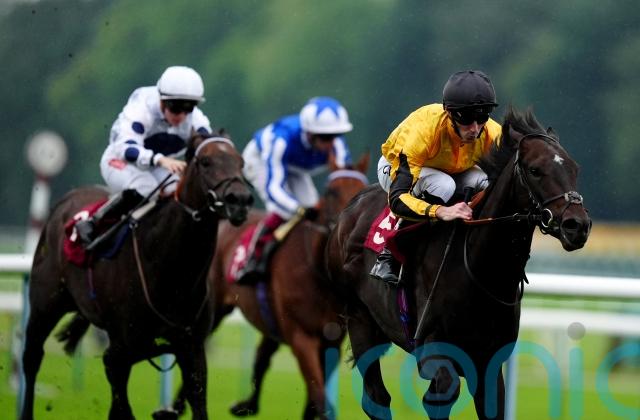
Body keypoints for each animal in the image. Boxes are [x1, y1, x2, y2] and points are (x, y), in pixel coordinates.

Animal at [21, 133, 254, 420]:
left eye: (241, 162)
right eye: (206, 161)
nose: (239, 200)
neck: (172, 272)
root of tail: (64, 202)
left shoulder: (191, 348)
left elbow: (197, 406)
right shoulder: (119, 352)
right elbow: (122, 406)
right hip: (45, 304)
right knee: (31, 356)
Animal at [170, 153, 369, 419]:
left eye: (363, 189)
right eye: (331, 191)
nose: (351, 229)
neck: (319, 271)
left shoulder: (331, 342)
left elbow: (314, 402)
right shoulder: (301, 338)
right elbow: (319, 397)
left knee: (262, 355)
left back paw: (246, 404)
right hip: (215, 309)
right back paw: (175, 406)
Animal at [326, 107, 591, 420]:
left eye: (574, 169)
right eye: (535, 170)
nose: (577, 226)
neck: (482, 270)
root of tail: (350, 208)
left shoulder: (489, 361)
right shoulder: (434, 349)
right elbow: (442, 392)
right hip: (360, 320)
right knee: (376, 398)